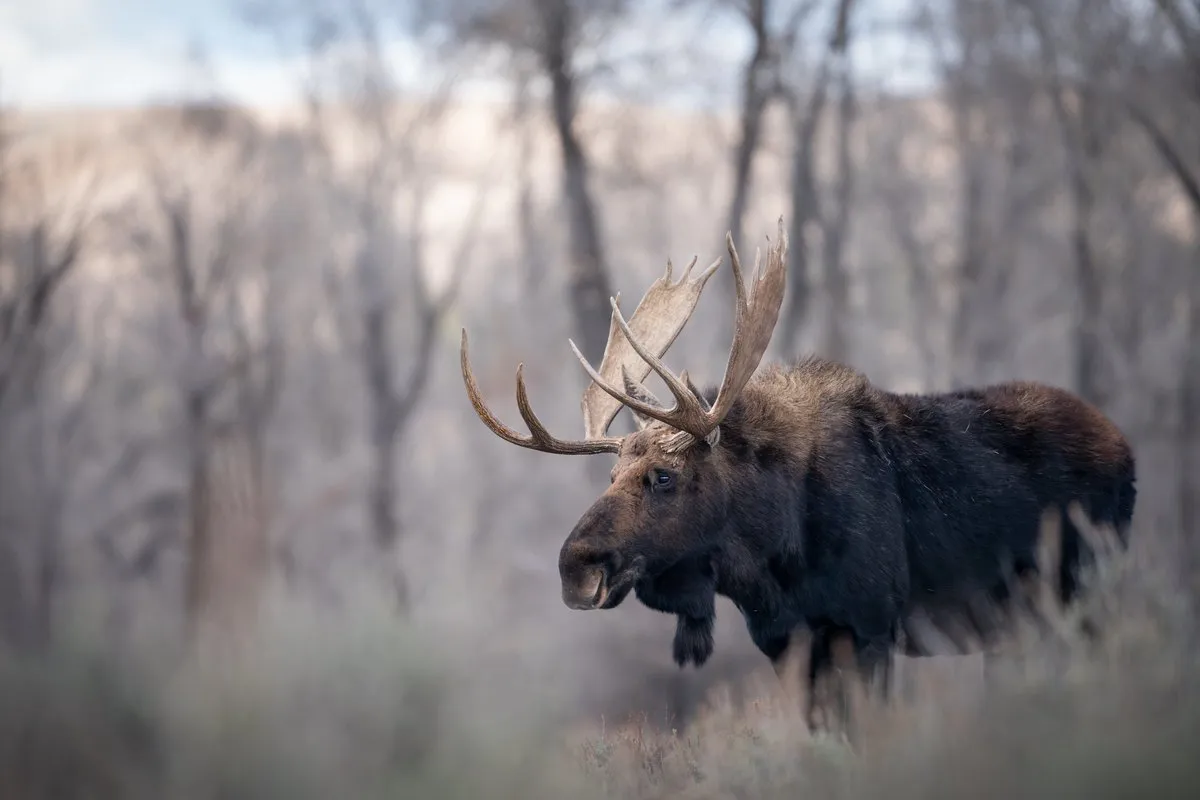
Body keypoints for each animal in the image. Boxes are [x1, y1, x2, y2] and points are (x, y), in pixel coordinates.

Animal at [459, 217, 1137, 733]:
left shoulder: (868, 627)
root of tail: (1127, 449)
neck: (775, 552)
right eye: (609, 477)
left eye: (664, 476)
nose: (576, 569)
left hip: (1089, 589)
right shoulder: (789, 644)